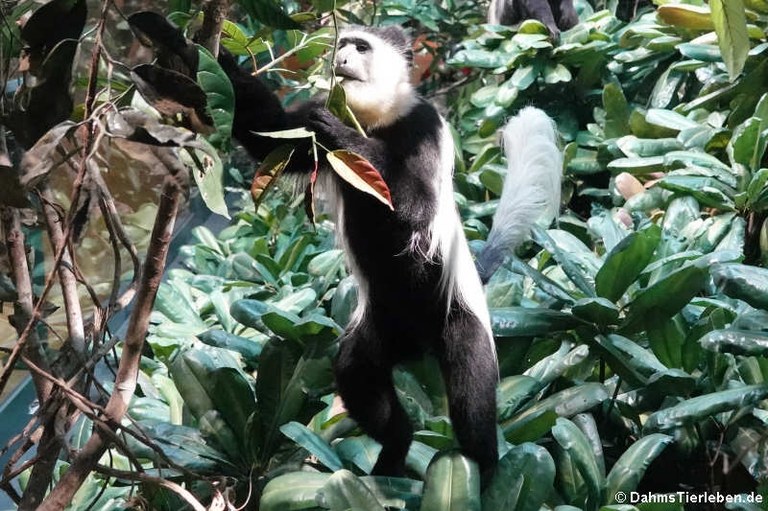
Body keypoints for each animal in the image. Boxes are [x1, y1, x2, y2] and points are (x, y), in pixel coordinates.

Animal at [219, 24, 560, 480]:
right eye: (342, 44)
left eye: (361, 47)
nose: (341, 59)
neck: (377, 116)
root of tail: (416, 346)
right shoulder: (305, 118)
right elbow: (265, 132)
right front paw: (186, 43)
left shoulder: (424, 125)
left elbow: (419, 204)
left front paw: (339, 133)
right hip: (378, 328)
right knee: (356, 374)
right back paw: (397, 448)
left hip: (457, 319)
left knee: (471, 396)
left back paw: (485, 468)